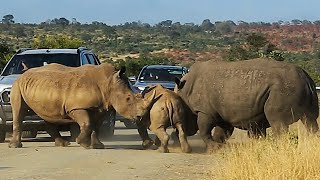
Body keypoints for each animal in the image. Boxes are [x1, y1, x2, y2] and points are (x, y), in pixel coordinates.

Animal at [8, 63, 156, 149]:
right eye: (128, 99)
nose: (140, 117)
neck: (109, 83)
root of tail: (22, 74)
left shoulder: (101, 108)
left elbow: (96, 126)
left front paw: (98, 146)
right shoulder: (76, 107)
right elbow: (87, 123)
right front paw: (82, 143)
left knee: (47, 114)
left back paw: (63, 144)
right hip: (17, 86)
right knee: (18, 112)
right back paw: (15, 146)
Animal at [174, 58, 318, 150]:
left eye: (182, 113)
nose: (187, 131)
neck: (184, 89)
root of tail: (306, 78)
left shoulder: (205, 111)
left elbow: (204, 130)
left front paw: (214, 148)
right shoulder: (222, 112)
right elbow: (221, 132)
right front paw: (219, 148)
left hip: (283, 89)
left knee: (277, 121)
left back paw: (279, 149)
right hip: (301, 87)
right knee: (310, 121)